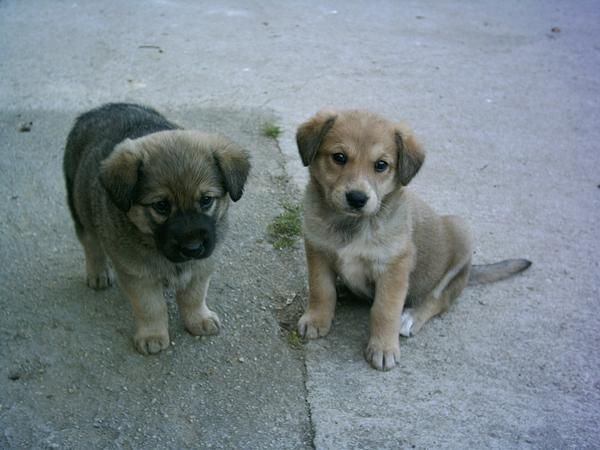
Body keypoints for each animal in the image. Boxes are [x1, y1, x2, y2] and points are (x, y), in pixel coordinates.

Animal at [61, 104, 248, 356]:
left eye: (206, 200)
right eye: (161, 206)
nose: (193, 248)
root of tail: (98, 109)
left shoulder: (202, 264)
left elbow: (194, 295)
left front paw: (198, 319)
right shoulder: (138, 273)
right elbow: (151, 306)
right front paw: (152, 335)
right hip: (79, 207)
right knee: (91, 244)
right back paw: (98, 273)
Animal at [296, 109, 528, 370]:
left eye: (381, 165)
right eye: (339, 157)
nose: (357, 198)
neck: (351, 225)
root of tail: (470, 273)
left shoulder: (395, 267)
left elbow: (385, 309)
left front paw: (384, 348)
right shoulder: (317, 250)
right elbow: (321, 290)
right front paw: (316, 319)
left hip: (461, 232)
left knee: (439, 298)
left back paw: (411, 317)